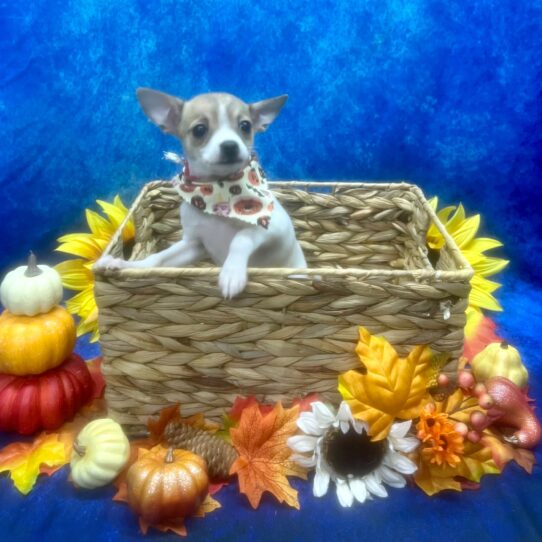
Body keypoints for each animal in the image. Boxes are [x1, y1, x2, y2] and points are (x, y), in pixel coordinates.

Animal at [98, 91, 308, 300]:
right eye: (199, 130)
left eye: (245, 126)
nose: (230, 145)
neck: (217, 193)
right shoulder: (193, 244)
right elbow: (158, 258)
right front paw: (126, 265)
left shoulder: (271, 227)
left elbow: (241, 237)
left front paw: (232, 273)